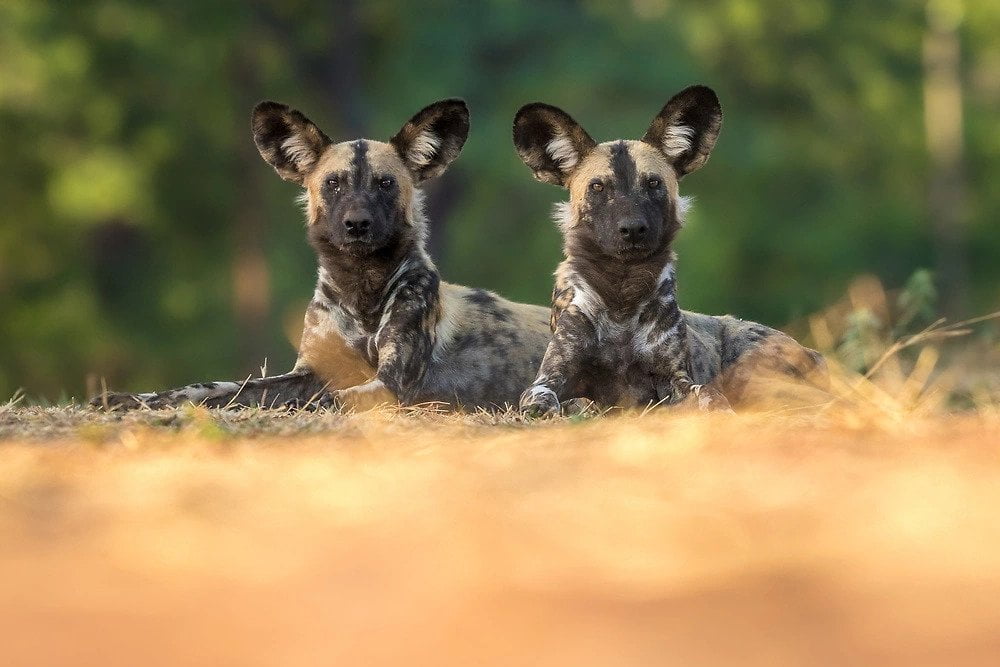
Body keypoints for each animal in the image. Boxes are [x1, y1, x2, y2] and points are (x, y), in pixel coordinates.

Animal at [89, 99, 552, 412]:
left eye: (385, 183)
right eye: (333, 183)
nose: (356, 224)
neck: (361, 289)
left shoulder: (390, 383)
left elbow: (323, 401)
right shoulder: (307, 372)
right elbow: (218, 389)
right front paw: (138, 400)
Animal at [512, 85, 824, 414]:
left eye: (653, 183)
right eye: (598, 187)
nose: (633, 229)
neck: (622, 295)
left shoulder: (675, 379)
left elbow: (706, 393)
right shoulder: (546, 380)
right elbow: (547, 400)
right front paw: (574, 406)